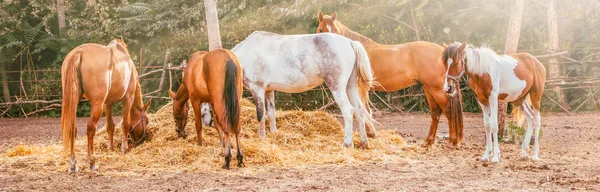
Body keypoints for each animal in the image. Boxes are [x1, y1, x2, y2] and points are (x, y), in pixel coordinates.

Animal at [60, 39, 152, 172]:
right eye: (146, 120)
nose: (142, 140)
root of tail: (78, 52)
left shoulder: (108, 104)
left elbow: (110, 126)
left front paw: (111, 148)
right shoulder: (128, 98)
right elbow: (125, 124)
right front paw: (124, 149)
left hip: (73, 102)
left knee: (72, 129)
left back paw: (73, 164)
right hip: (97, 105)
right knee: (90, 129)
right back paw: (92, 162)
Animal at [231, 31, 376, 148]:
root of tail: (350, 42)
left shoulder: (257, 89)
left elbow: (260, 115)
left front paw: (262, 138)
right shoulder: (268, 91)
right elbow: (271, 114)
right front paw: (274, 134)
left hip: (337, 87)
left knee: (348, 110)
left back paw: (347, 144)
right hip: (350, 87)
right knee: (359, 110)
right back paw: (364, 143)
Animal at [316, 11, 466, 147]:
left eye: (335, 31)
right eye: (321, 30)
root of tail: (442, 51)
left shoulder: (361, 88)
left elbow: (364, 109)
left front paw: (370, 134)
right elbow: (365, 109)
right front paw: (371, 133)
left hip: (437, 89)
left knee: (448, 110)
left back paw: (452, 141)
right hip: (429, 89)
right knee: (435, 113)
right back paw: (428, 141)